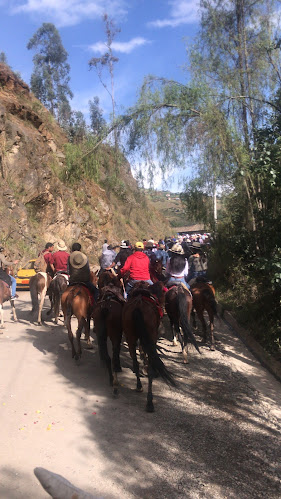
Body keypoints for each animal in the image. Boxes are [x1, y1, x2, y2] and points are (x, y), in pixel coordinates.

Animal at [121, 282, 174, 414]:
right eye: (163, 294)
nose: (163, 307)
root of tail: (138, 306)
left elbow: (141, 350)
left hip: (130, 336)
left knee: (135, 362)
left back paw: (139, 386)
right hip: (150, 335)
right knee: (150, 366)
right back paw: (150, 402)